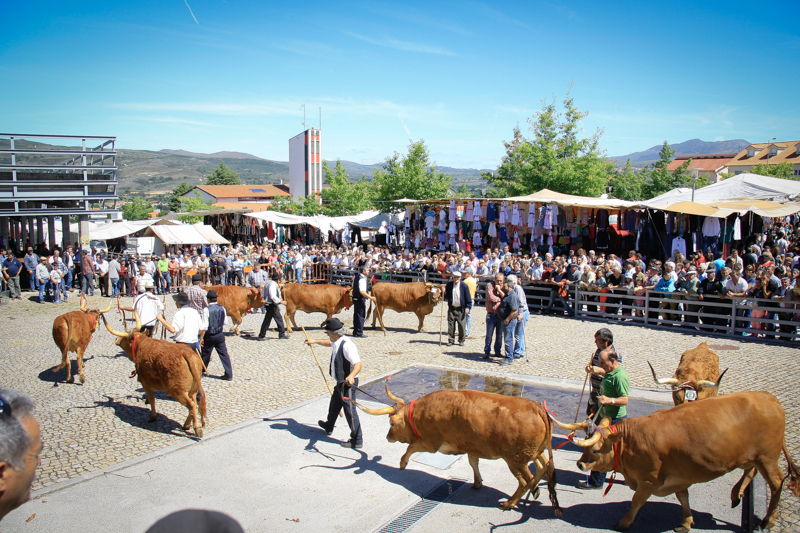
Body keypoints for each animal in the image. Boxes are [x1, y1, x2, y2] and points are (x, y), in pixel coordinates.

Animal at [356, 376, 564, 512]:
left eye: (392, 424)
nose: (388, 436)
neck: (419, 414)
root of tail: (536, 406)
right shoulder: (471, 445)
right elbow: (473, 463)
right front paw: (477, 482)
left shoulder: (431, 442)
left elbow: (410, 447)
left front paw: (402, 463)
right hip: (534, 452)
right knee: (543, 467)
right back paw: (534, 490)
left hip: (516, 460)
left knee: (525, 480)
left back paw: (510, 503)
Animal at [552, 388, 796, 528]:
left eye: (596, 448)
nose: (580, 463)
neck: (631, 441)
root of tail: (770, 398)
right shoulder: (680, 476)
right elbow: (683, 498)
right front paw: (686, 522)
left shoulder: (648, 480)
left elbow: (637, 501)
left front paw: (624, 523)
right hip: (753, 456)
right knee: (750, 471)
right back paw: (737, 495)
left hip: (767, 458)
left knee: (776, 482)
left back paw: (768, 520)